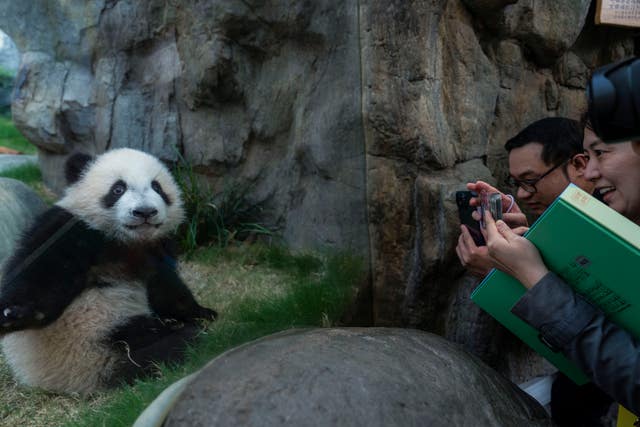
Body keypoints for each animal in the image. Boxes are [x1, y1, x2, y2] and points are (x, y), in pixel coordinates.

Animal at [0, 149, 218, 396]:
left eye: (157, 187)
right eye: (118, 189)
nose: (145, 212)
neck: (126, 241)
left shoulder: (153, 251)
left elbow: (166, 289)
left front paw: (202, 312)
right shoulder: (73, 232)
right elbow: (40, 279)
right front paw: (14, 314)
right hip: (100, 338)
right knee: (164, 345)